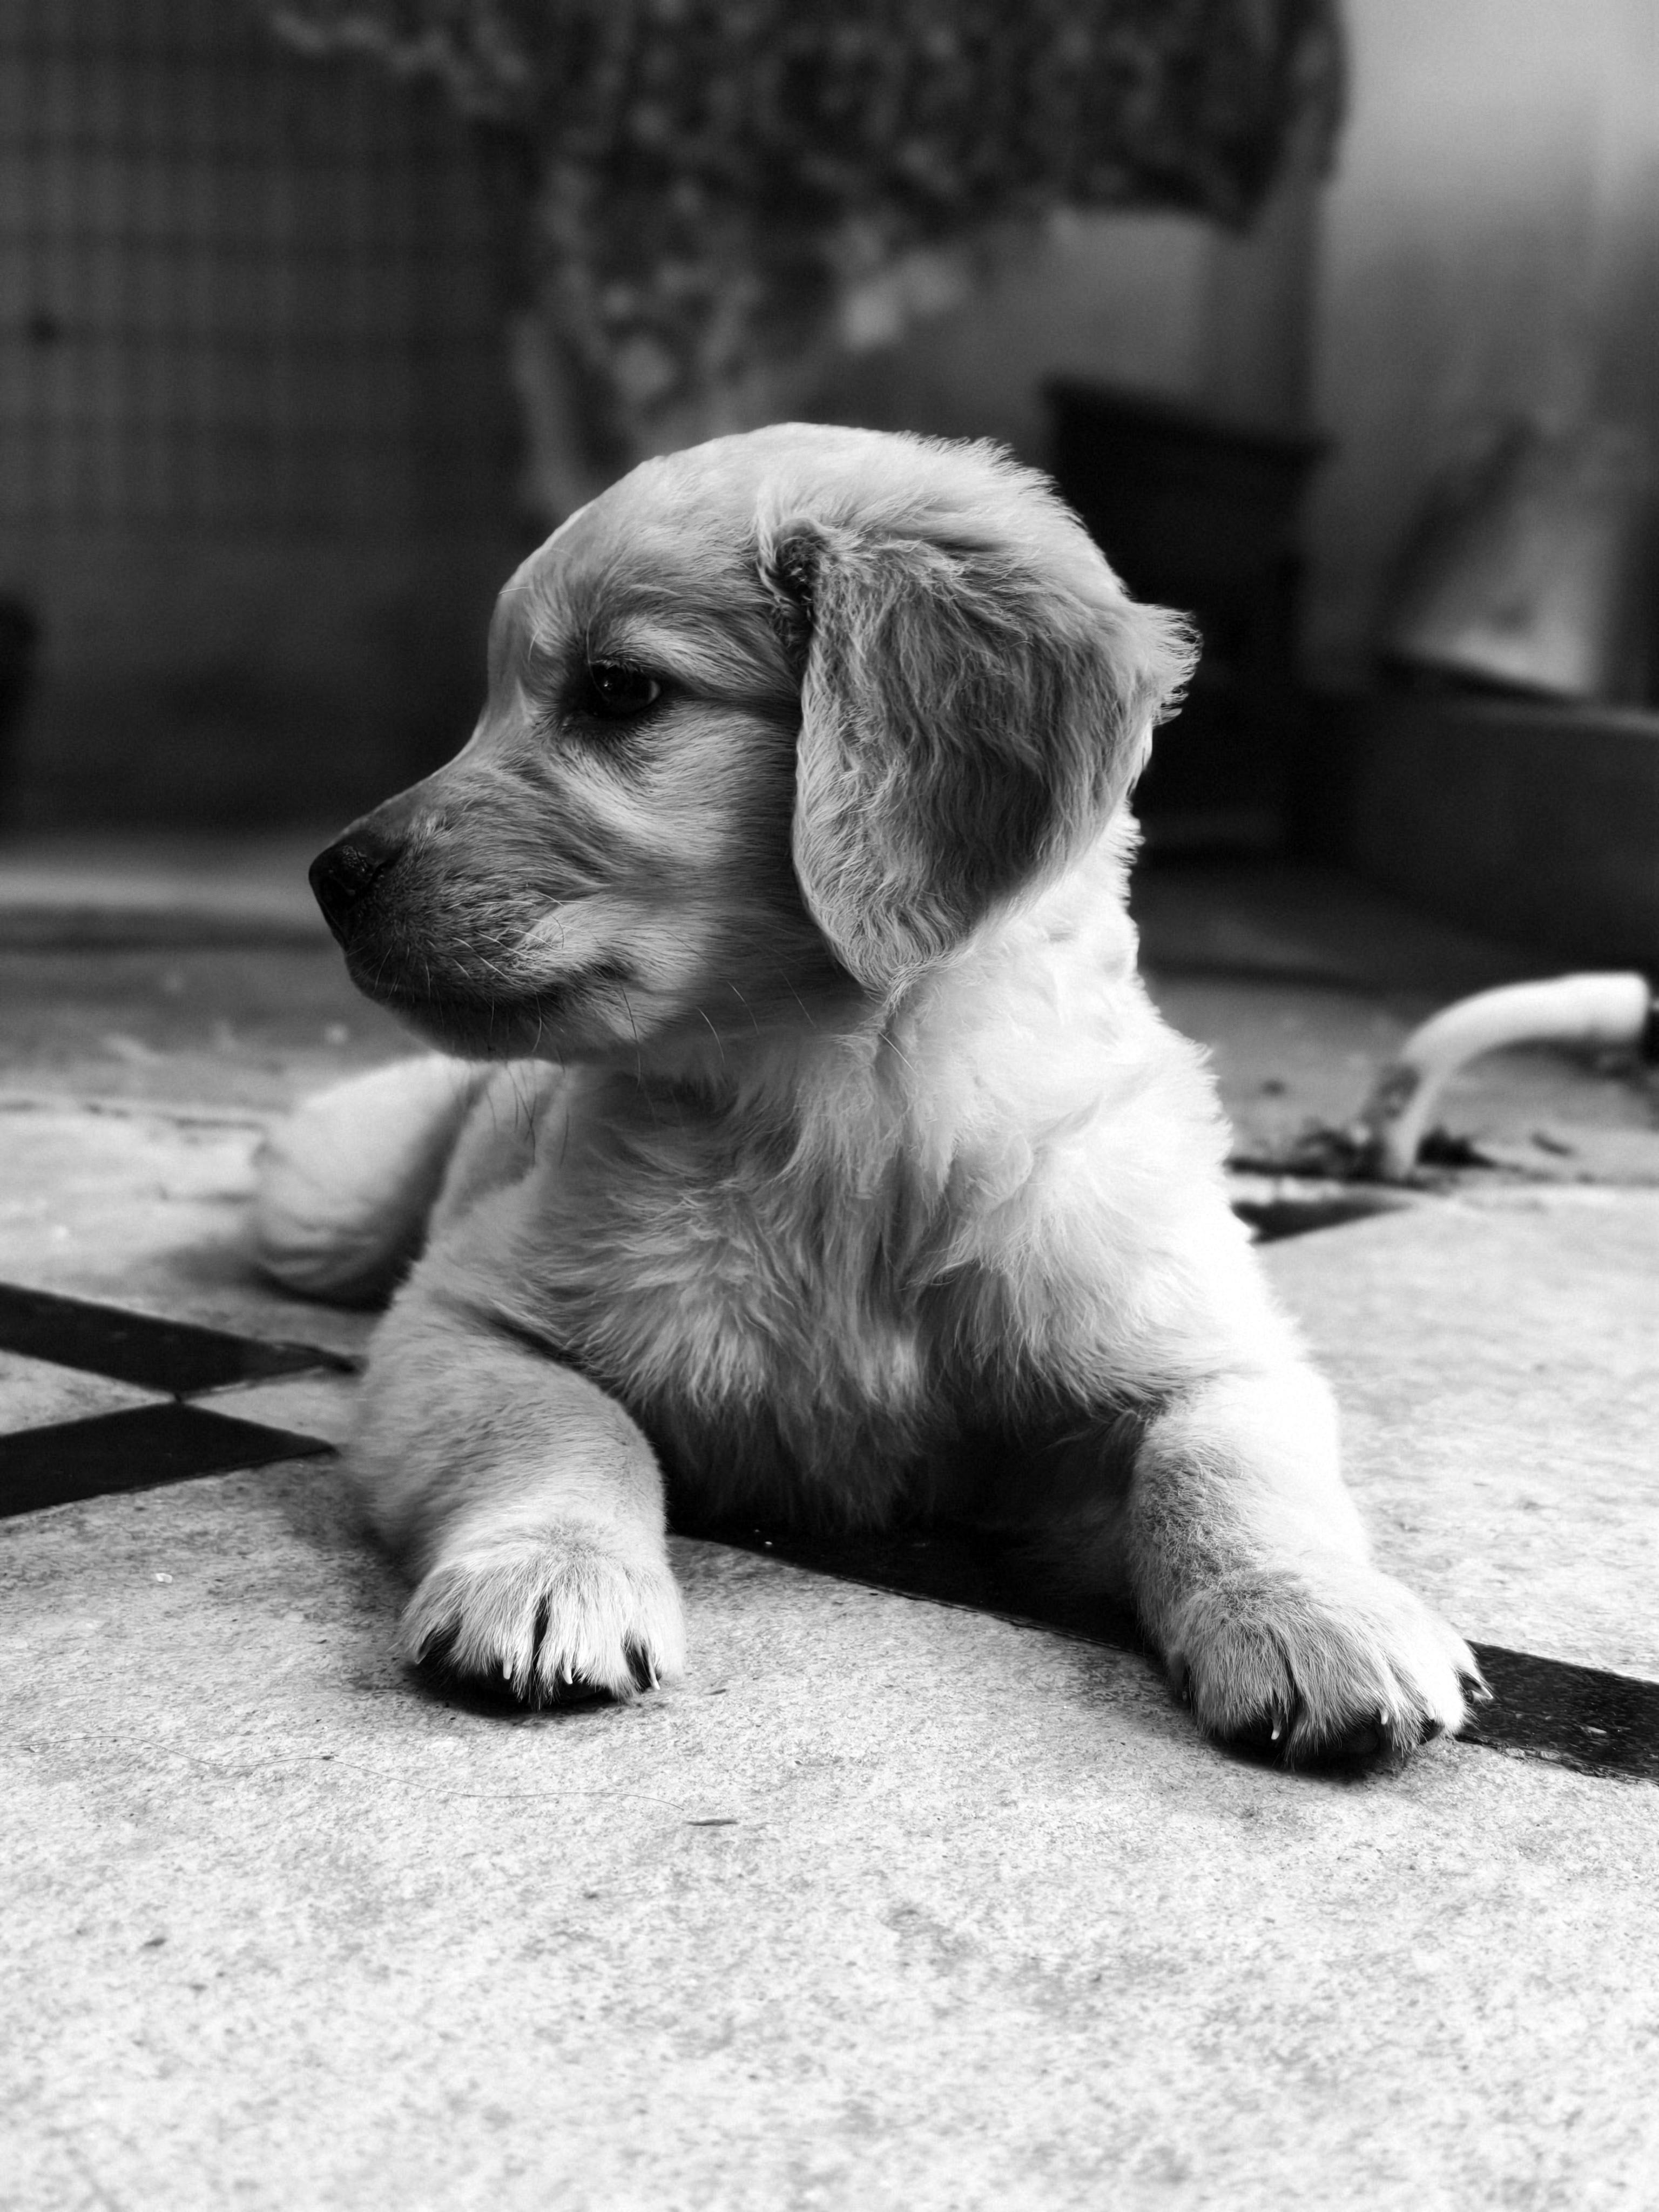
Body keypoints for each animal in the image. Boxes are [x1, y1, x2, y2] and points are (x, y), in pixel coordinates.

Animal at [260, 418, 1478, 1761]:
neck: (854, 1111)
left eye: (619, 690)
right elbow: (567, 1425)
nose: (330, 877)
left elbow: (1224, 1466)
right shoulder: (461, 1317)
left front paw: (1311, 1611)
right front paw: (550, 1571)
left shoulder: (1207, 1346)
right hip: (321, 1204)